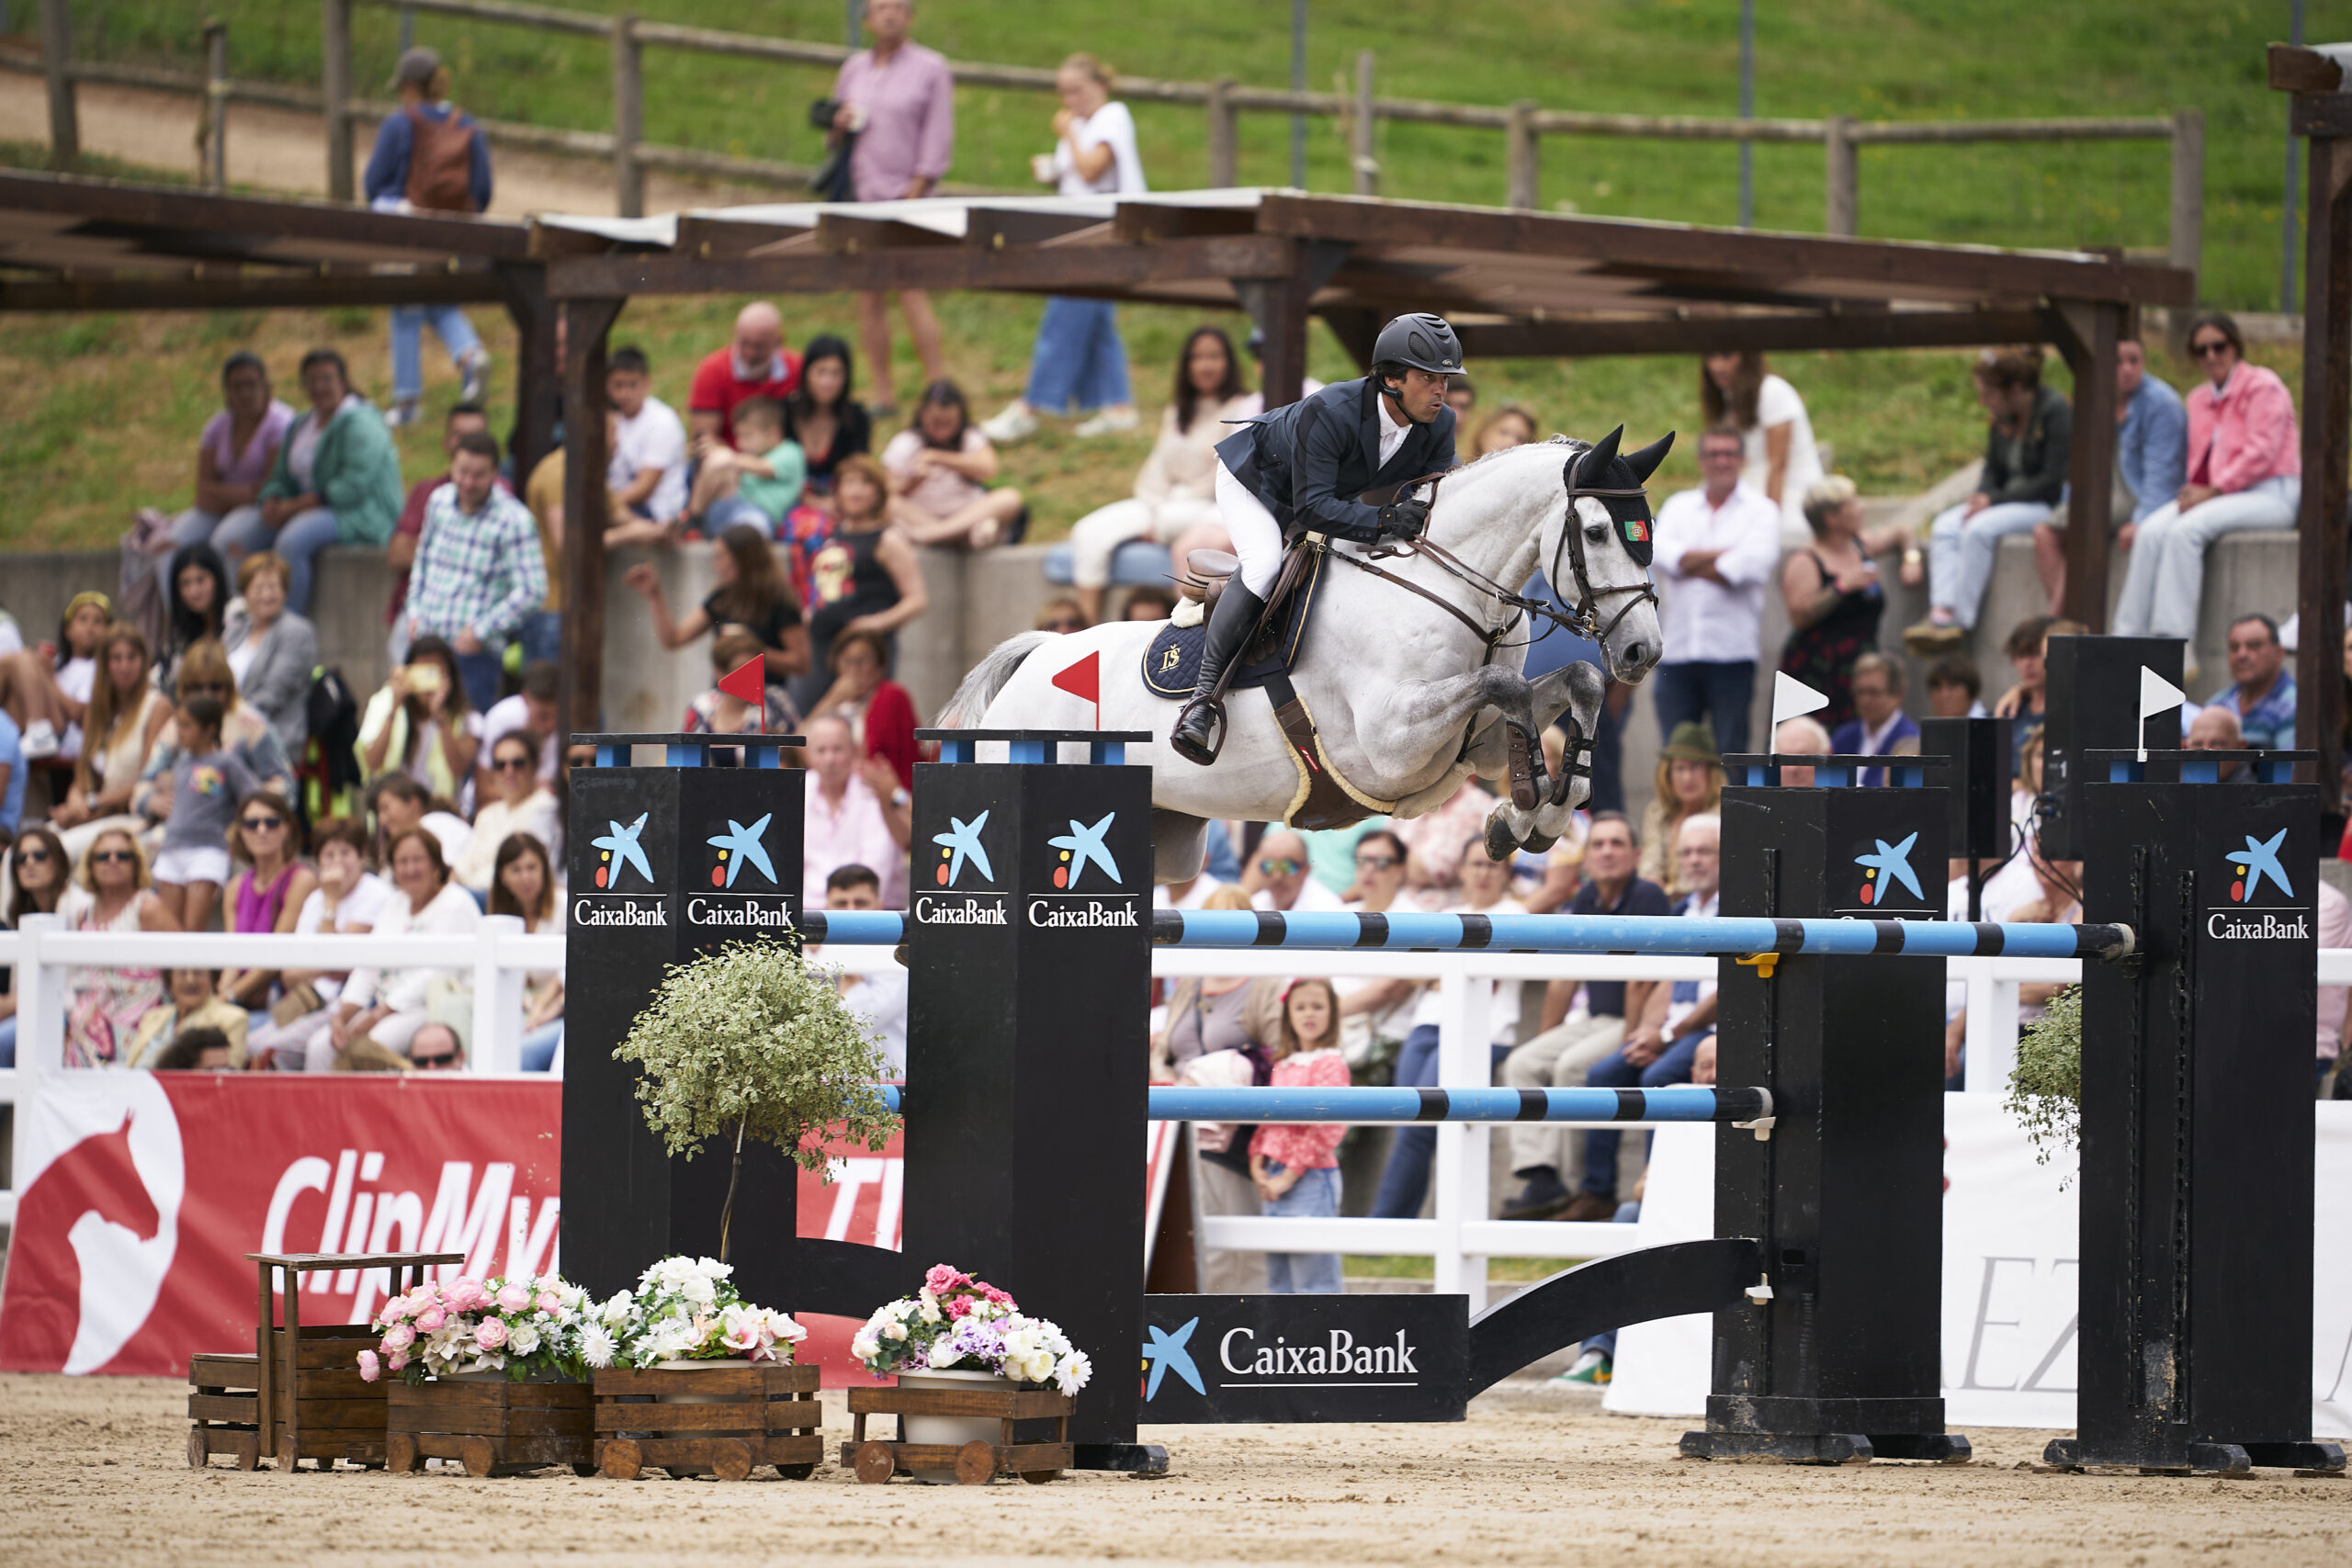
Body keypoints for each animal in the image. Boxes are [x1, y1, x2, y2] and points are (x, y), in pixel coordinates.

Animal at [941, 427, 1670, 881]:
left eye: (1650, 532)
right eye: (1598, 532)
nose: (1644, 650)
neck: (1443, 587)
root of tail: (1038, 656)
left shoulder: (1473, 744)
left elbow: (1577, 680)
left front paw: (1534, 815)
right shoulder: (1390, 745)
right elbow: (1507, 687)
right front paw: (1527, 798)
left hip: (1166, 840)